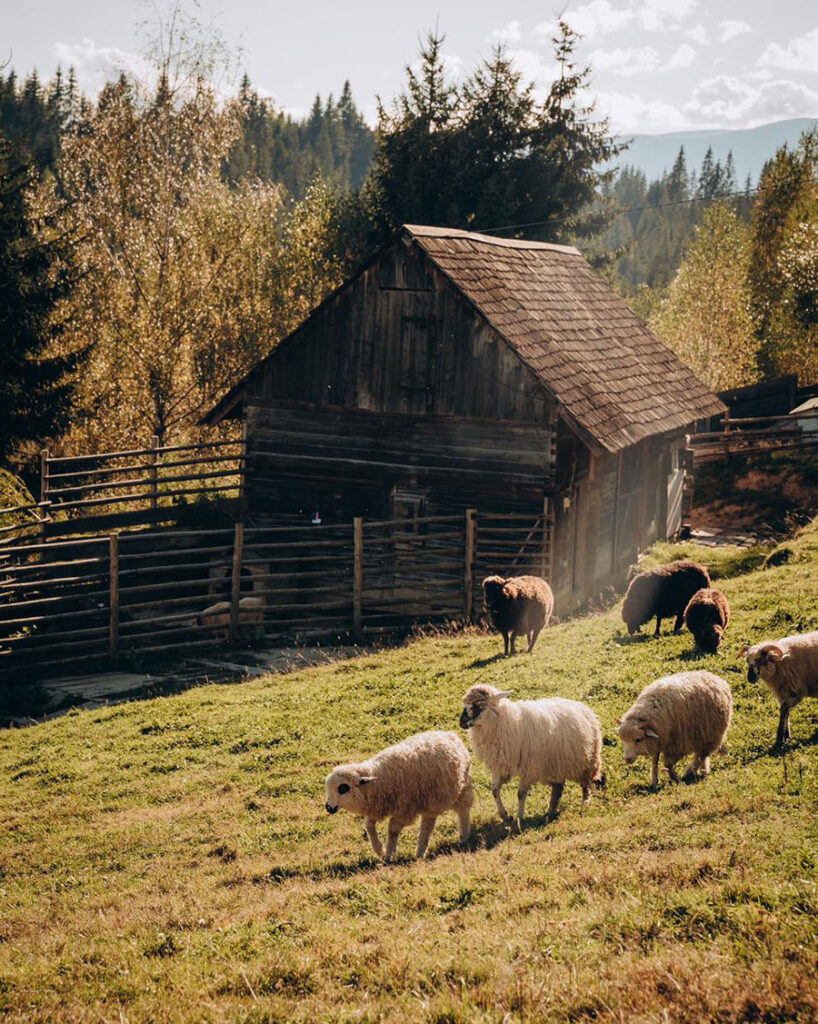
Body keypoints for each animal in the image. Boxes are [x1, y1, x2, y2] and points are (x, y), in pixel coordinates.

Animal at [321, 729, 472, 864]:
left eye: (343, 788)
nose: (328, 807)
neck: (381, 778)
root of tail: (449, 734)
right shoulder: (377, 808)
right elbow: (369, 825)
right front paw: (379, 850)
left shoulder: (405, 810)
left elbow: (392, 829)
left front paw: (388, 855)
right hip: (432, 800)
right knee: (428, 823)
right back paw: (420, 852)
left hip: (462, 789)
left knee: (463, 810)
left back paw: (463, 837)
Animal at [456, 684, 606, 827]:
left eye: (479, 705)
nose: (461, 722)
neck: (505, 723)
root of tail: (582, 706)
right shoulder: (500, 766)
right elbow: (494, 790)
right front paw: (505, 815)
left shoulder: (528, 768)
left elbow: (520, 794)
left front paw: (519, 818)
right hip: (554, 766)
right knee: (557, 788)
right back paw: (550, 811)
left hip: (587, 759)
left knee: (586, 783)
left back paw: (585, 803)